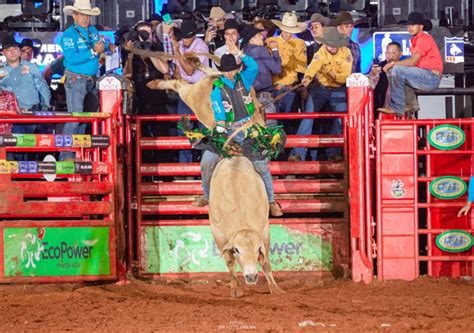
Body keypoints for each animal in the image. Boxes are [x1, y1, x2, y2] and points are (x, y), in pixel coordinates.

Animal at [210, 157, 284, 296]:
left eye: (258, 249)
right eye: (237, 249)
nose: (251, 277)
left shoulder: (264, 230)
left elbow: (265, 261)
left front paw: (274, 288)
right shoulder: (218, 235)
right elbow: (230, 262)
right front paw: (235, 288)